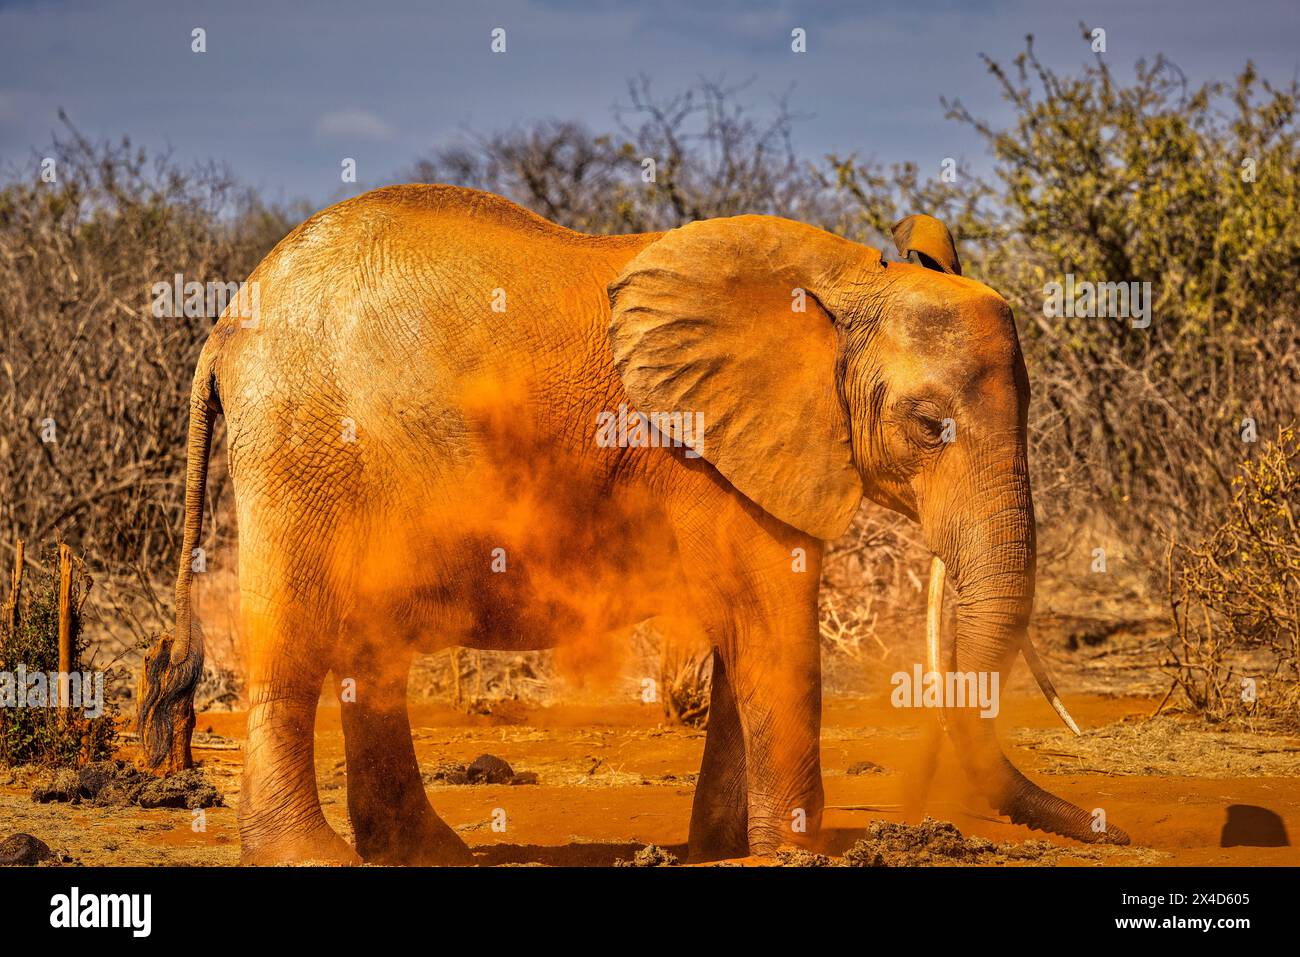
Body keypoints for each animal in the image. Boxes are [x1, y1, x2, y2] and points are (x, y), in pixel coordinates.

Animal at [139, 183, 1128, 863]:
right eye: (929, 426)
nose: (1112, 833)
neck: (845, 279)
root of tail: (223, 328)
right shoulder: (715, 449)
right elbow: (772, 624)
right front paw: (788, 854)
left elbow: (746, 636)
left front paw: (721, 852)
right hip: (302, 440)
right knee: (296, 632)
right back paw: (310, 857)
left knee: (366, 646)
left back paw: (426, 855)